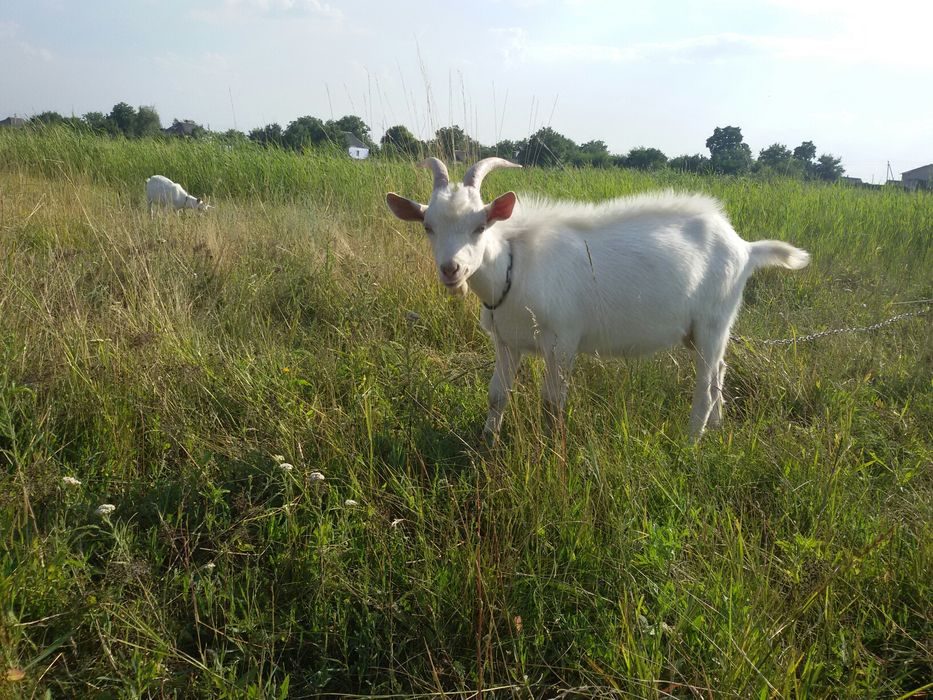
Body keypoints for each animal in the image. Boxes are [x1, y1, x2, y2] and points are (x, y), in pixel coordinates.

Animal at [386, 159, 808, 442]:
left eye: (480, 226)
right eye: (428, 227)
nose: (451, 269)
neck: (513, 264)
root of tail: (746, 248)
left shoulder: (561, 341)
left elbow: (552, 403)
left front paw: (551, 449)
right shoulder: (506, 341)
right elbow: (497, 396)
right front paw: (488, 443)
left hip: (712, 322)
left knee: (705, 385)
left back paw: (691, 442)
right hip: (705, 330)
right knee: (720, 371)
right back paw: (716, 427)